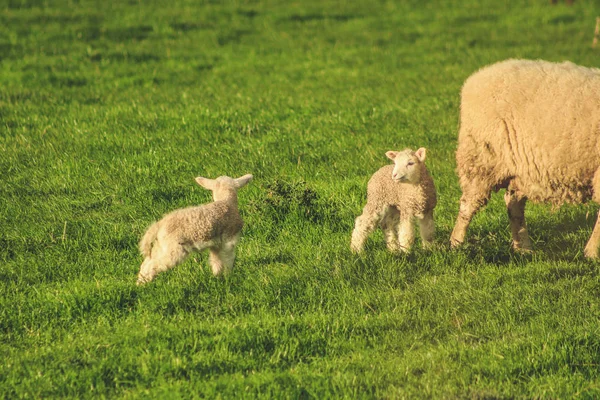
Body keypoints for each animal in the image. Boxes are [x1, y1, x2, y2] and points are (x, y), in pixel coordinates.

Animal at [450, 59, 600, 260]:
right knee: (468, 204)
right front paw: (592, 253)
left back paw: (523, 248)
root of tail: (475, 79)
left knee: (513, 205)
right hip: (481, 159)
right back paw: (455, 244)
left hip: (520, 169)